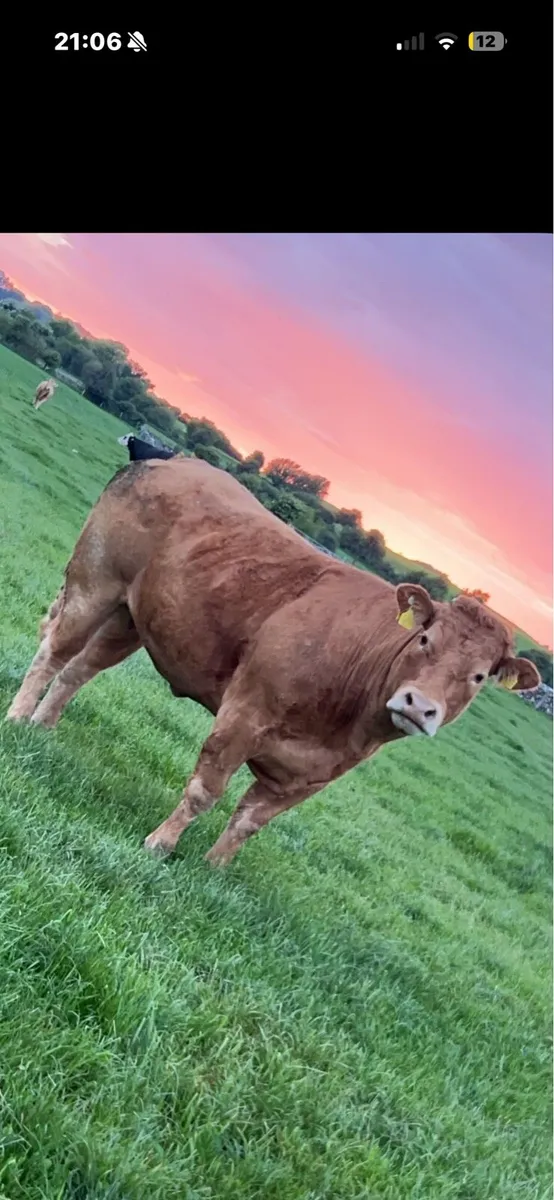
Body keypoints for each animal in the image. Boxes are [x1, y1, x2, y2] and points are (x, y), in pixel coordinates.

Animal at [6, 456, 541, 867]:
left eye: (478, 677)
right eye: (425, 638)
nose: (417, 705)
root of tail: (168, 460)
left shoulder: (313, 776)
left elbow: (250, 822)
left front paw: (213, 869)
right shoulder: (245, 714)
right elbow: (205, 791)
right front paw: (159, 844)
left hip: (130, 618)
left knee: (79, 670)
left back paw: (43, 726)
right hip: (95, 583)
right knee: (54, 653)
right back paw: (16, 720)